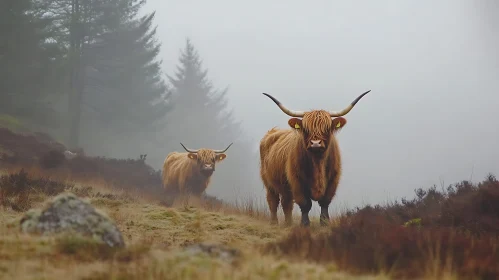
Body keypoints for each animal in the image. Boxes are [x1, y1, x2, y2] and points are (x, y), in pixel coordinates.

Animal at [260, 91, 370, 226]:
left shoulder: (333, 179)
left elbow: (325, 202)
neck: (318, 163)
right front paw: (304, 224)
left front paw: (325, 222)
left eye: (327, 128)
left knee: (287, 203)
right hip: (268, 182)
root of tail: (273, 131)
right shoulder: (296, 180)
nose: (316, 143)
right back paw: (274, 222)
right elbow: (305, 204)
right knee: (273, 201)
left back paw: (288, 223)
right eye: (306, 129)